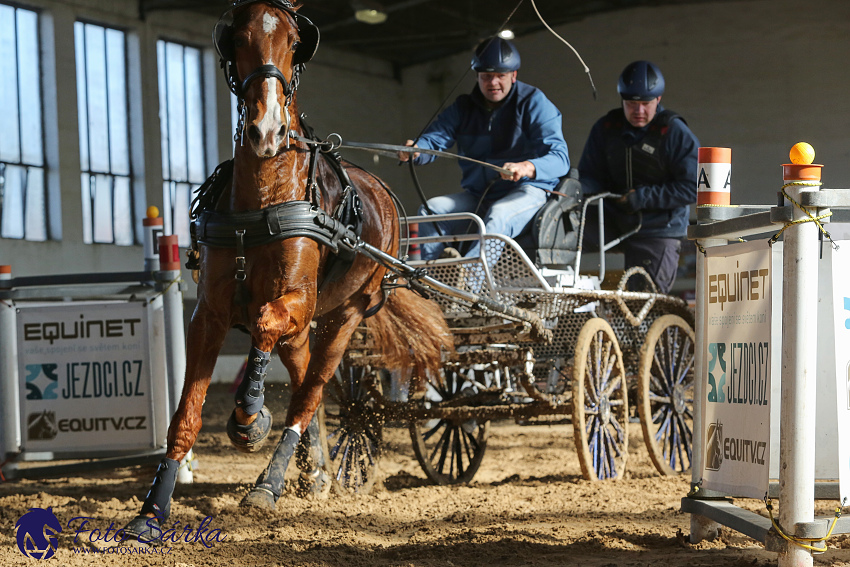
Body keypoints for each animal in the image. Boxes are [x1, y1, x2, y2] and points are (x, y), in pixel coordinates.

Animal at [123, 0, 450, 544]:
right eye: (237, 38)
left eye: (295, 42)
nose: (267, 130)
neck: (263, 201)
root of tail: (383, 192)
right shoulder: (207, 315)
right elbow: (186, 413)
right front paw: (151, 511)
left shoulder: (295, 300)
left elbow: (262, 324)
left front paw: (250, 419)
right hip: (309, 326)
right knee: (304, 383)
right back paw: (312, 472)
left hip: (345, 315)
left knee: (310, 392)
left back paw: (269, 484)